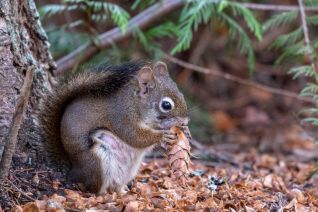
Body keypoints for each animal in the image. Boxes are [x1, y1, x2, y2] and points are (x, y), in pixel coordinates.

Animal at [38, 60, 190, 194]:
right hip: (98, 160)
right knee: (95, 189)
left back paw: (123, 192)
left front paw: (183, 132)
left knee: (116, 185)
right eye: (166, 105)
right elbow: (135, 137)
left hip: (129, 171)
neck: (135, 104)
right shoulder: (121, 117)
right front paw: (162, 136)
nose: (185, 121)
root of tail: (74, 170)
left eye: (182, 94)